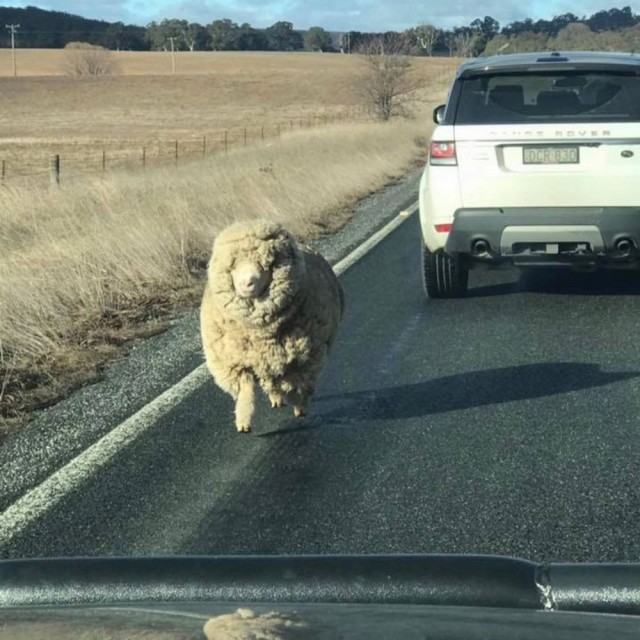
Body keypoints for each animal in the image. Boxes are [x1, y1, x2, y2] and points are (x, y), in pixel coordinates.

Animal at [201, 218, 344, 432]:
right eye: (233, 267)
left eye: (265, 265)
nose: (246, 283)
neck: (260, 332)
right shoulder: (238, 362)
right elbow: (244, 390)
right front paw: (243, 422)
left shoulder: (303, 358)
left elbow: (298, 386)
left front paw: (299, 406)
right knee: (270, 382)